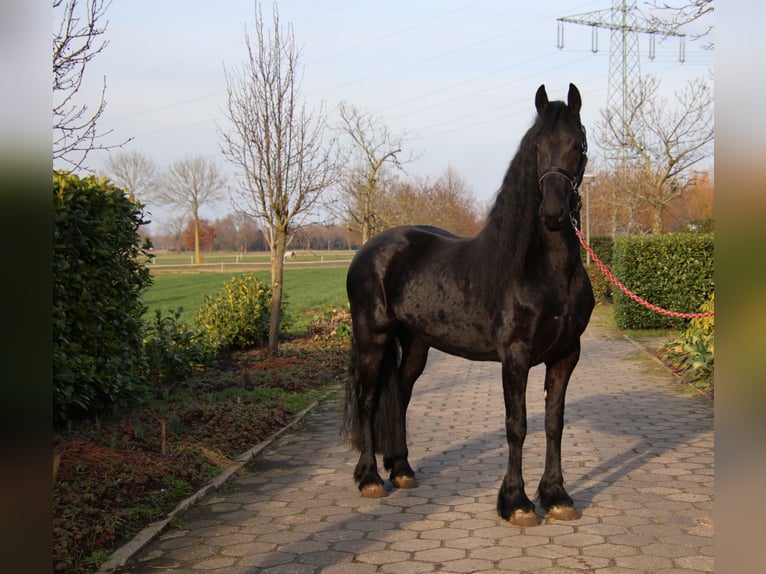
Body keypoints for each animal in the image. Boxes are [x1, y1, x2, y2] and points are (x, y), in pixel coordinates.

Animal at [343, 84, 594, 527]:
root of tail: (369, 250)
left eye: (578, 146)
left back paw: (401, 469)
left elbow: (554, 423)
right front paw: (516, 502)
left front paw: (557, 496)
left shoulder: (567, 354)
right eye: (535, 147)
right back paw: (370, 477)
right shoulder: (515, 357)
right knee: (369, 400)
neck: (543, 271)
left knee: (401, 396)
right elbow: (517, 425)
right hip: (372, 339)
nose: (552, 213)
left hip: (416, 344)